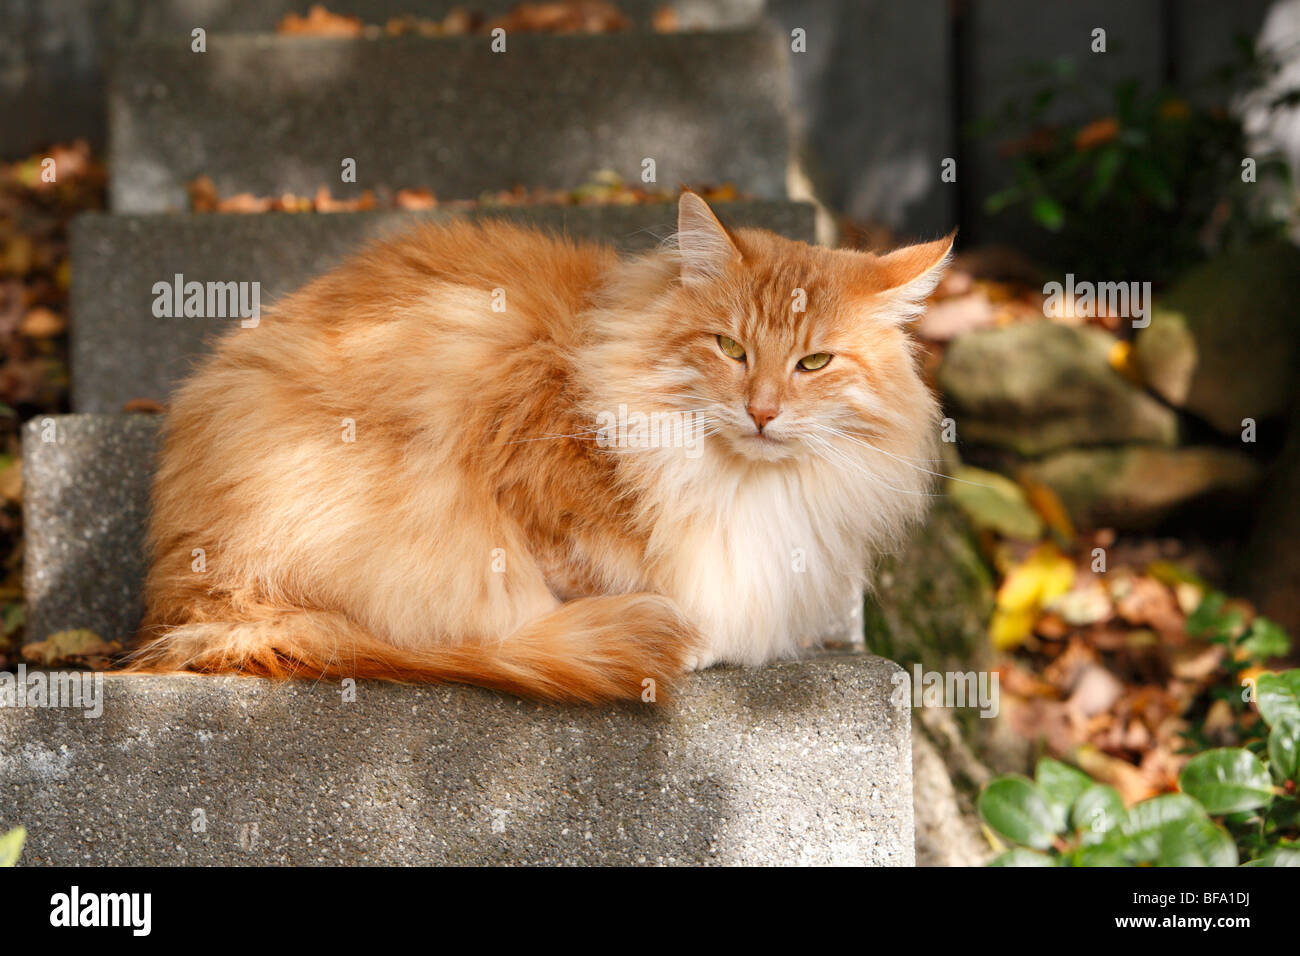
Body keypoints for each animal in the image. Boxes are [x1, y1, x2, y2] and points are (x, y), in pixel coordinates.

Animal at [131, 195, 951, 702]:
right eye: (730, 348)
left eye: (815, 363)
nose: (762, 412)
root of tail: (188, 602)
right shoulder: (527, 481)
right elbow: (590, 583)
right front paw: (685, 634)